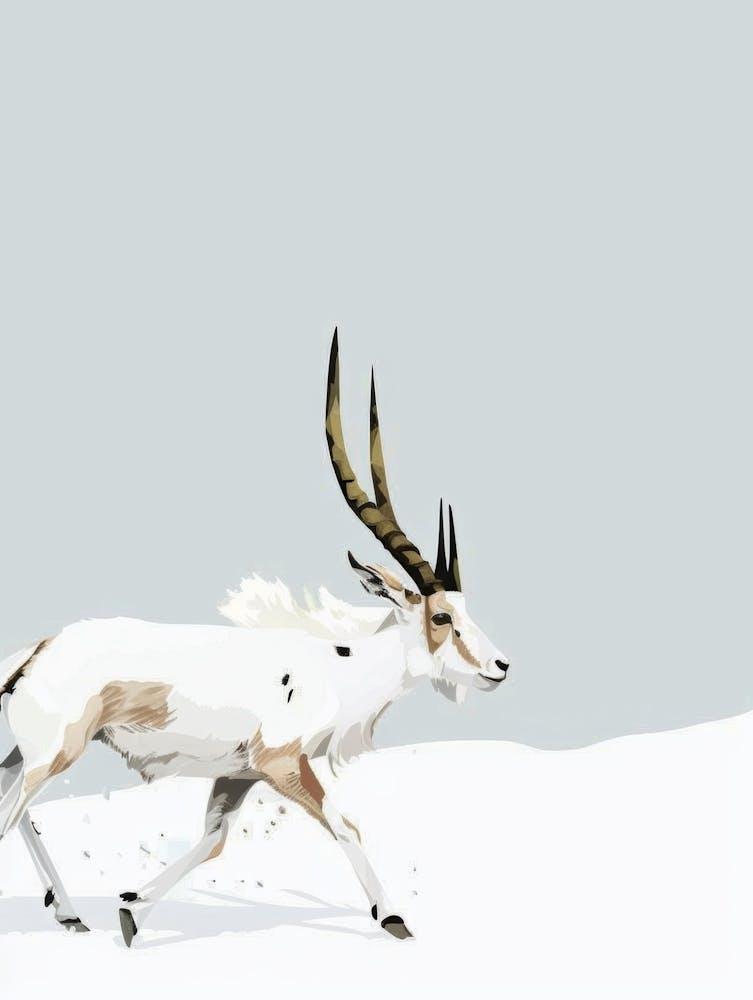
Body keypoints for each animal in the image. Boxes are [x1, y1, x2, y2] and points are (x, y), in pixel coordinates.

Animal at [0, 329, 509, 946]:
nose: (502, 666)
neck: (337, 665)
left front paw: (131, 910)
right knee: (9, 812)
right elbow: (346, 825)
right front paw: (395, 919)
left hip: (26, 756)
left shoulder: (237, 776)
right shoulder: (283, 765)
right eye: (441, 618)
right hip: (53, 754)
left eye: (464, 609)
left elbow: (214, 841)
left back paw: (71, 914)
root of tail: (37, 649)